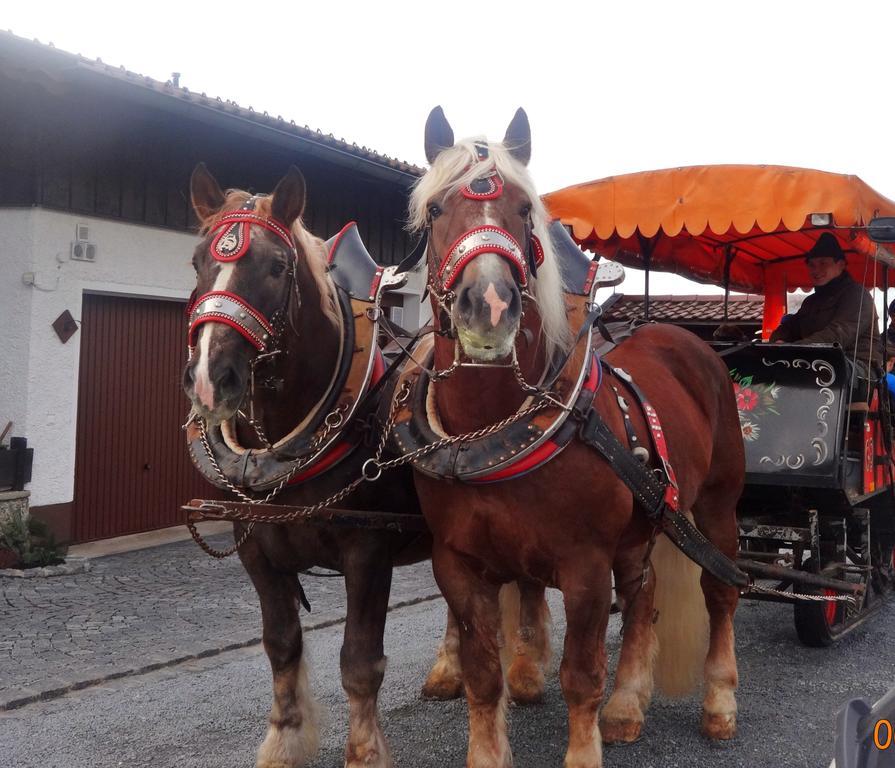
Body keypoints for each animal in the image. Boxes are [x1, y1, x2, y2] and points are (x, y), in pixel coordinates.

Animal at [398, 108, 744, 768]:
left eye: (524, 210)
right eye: (434, 211)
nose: (488, 307)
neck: (496, 430)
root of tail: (686, 341)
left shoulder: (584, 565)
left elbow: (580, 675)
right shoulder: (457, 564)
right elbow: (483, 676)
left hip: (717, 504)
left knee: (718, 590)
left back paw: (719, 702)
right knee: (644, 592)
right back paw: (628, 704)